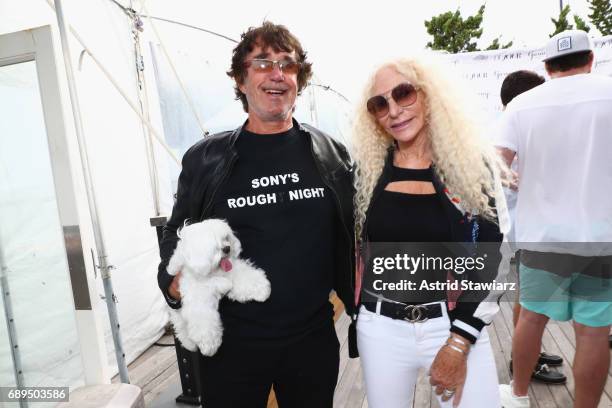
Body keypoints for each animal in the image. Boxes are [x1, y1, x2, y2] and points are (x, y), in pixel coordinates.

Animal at [167, 218, 272, 356]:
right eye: (213, 247)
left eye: (226, 238)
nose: (227, 248)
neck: (212, 273)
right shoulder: (198, 298)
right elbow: (204, 319)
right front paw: (209, 343)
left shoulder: (231, 272)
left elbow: (243, 276)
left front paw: (261, 288)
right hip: (177, 315)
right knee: (181, 329)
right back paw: (190, 345)